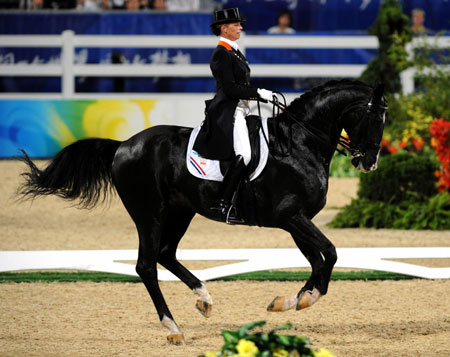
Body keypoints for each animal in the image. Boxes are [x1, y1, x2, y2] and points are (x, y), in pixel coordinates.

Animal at [18, 79, 386, 344]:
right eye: (374, 118)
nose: (369, 163)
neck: (298, 144)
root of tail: (122, 146)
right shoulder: (290, 216)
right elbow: (330, 253)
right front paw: (305, 299)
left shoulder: (296, 220)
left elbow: (317, 260)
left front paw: (289, 301)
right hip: (148, 213)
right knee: (146, 265)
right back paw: (173, 329)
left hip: (182, 211)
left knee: (166, 254)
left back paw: (204, 299)